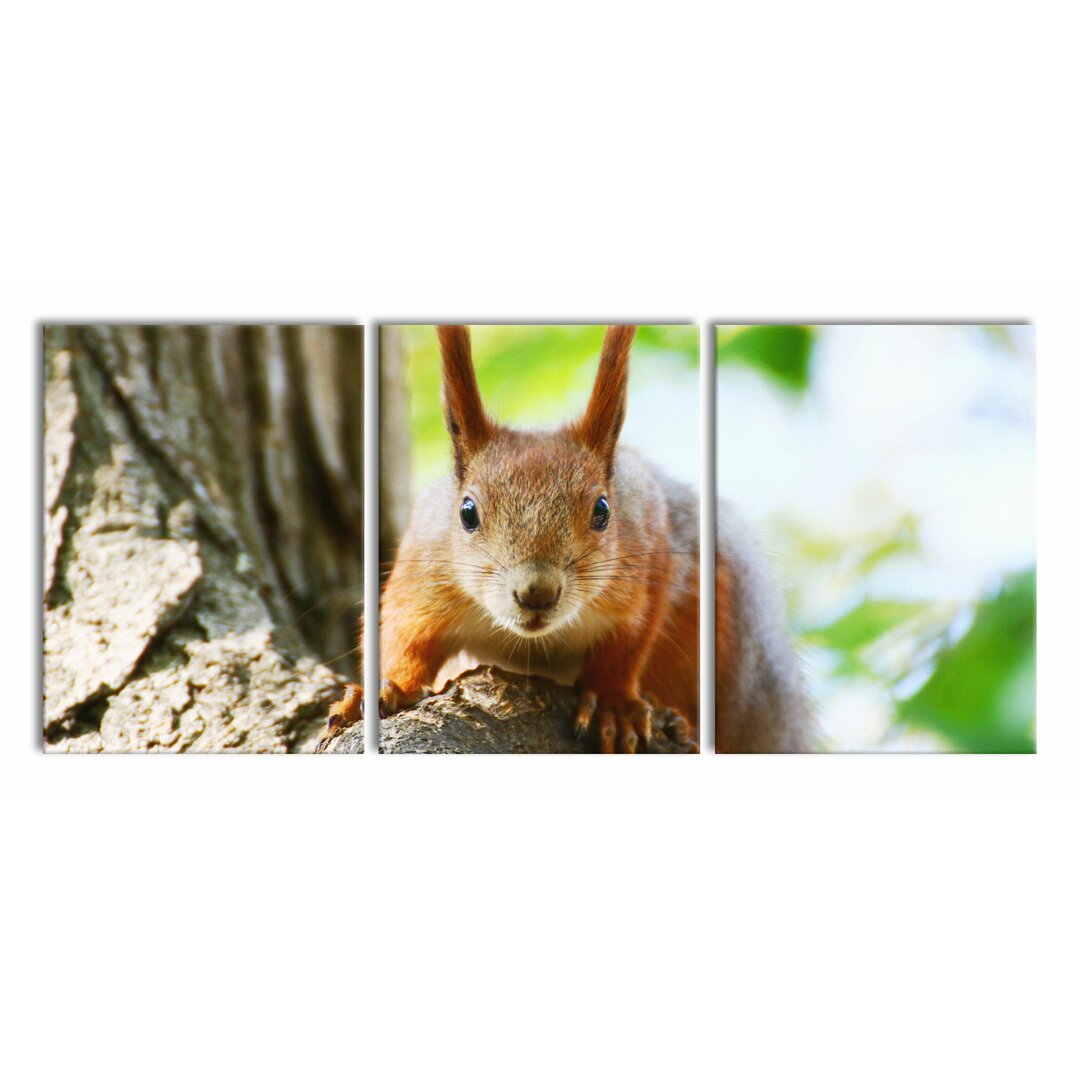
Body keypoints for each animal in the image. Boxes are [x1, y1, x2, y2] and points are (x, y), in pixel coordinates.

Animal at [328, 324, 812, 756]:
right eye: (467, 512)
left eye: (603, 510)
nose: (536, 592)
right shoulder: (424, 571)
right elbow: (402, 635)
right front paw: (385, 687)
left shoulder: (650, 553)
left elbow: (628, 642)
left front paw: (614, 704)